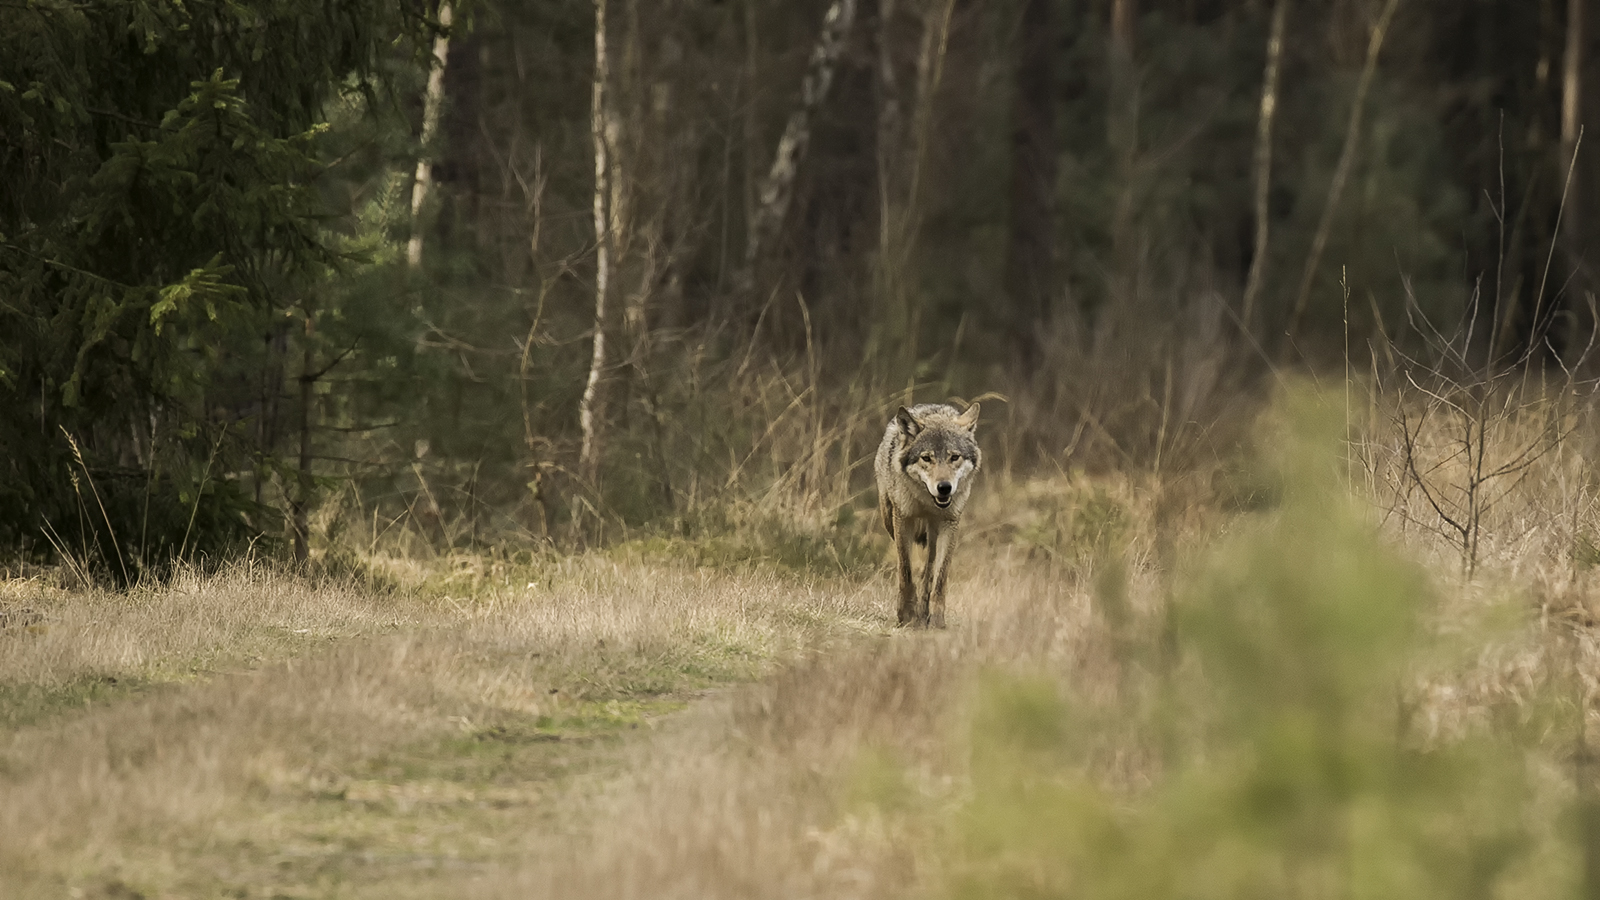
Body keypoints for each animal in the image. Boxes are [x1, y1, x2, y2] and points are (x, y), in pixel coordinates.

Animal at [876, 398, 972, 624]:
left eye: (954, 457)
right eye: (926, 458)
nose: (944, 487)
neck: (928, 502)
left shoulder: (950, 522)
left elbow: (940, 576)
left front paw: (936, 619)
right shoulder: (903, 519)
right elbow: (906, 569)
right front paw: (906, 615)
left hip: (933, 532)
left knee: (929, 568)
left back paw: (923, 610)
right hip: (889, 519)